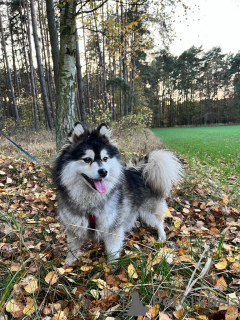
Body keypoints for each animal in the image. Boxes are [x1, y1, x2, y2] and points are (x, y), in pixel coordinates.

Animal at [52, 121, 182, 264]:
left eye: (105, 158)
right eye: (87, 159)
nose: (103, 172)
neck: (90, 203)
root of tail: (141, 171)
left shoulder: (113, 228)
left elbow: (112, 252)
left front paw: (111, 267)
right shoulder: (74, 227)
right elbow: (72, 250)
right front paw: (67, 266)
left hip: (150, 212)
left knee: (159, 222)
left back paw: (161, 237)